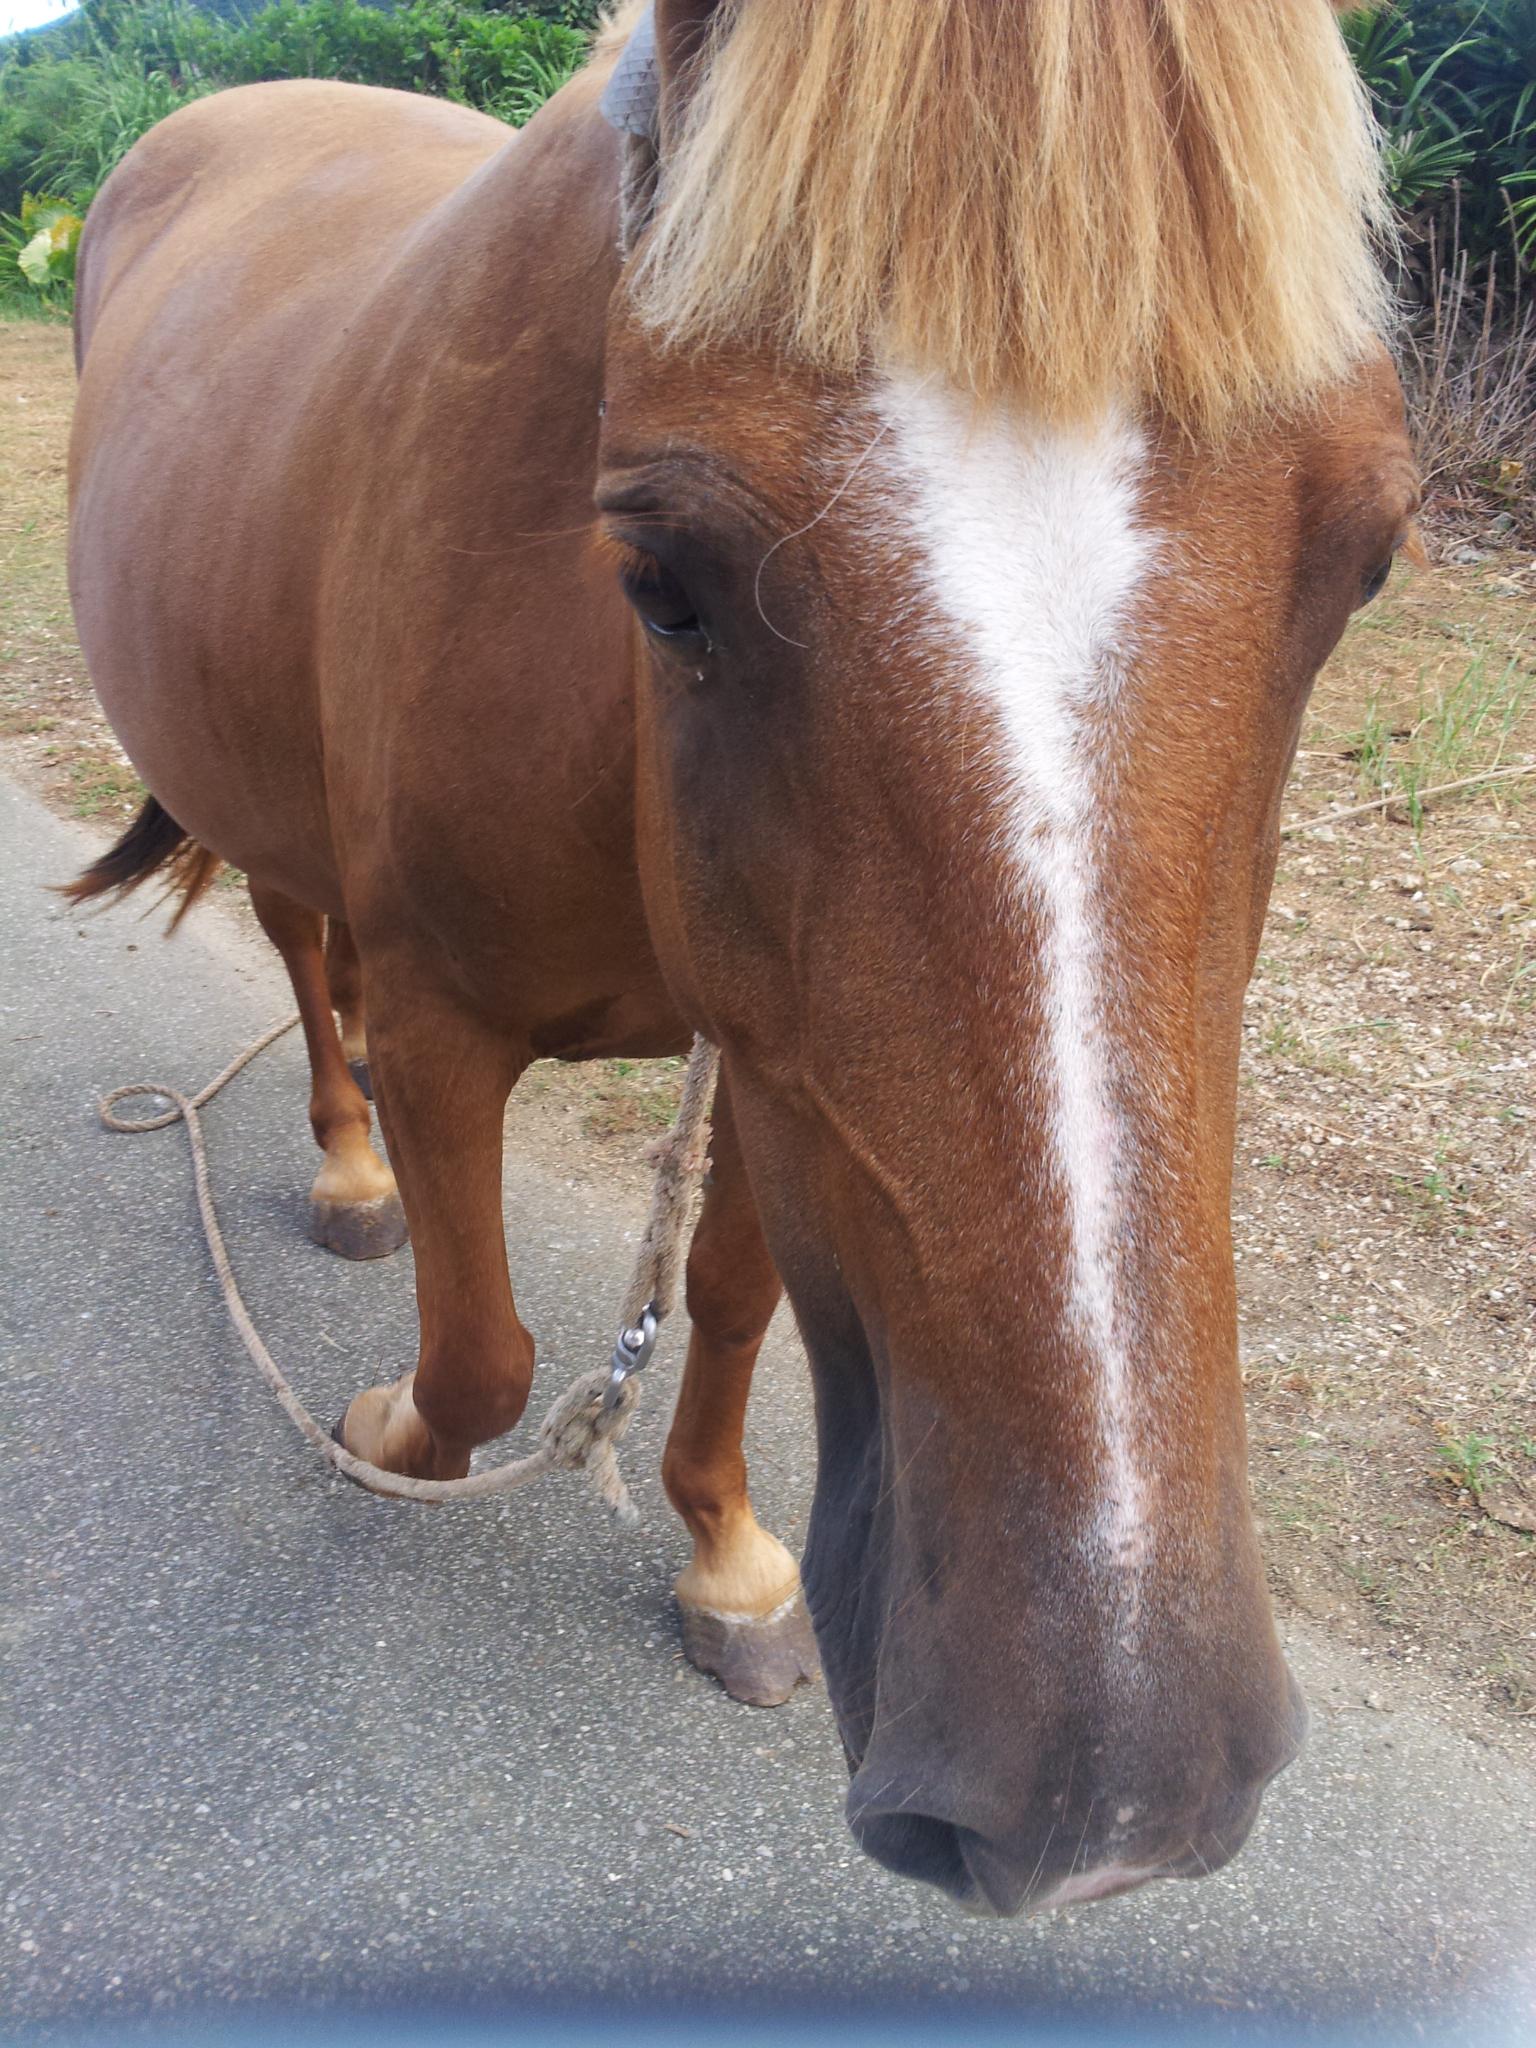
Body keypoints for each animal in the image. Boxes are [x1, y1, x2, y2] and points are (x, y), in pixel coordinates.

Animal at [64, 0, 1419, 1915]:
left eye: (1366, 558)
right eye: (661, 575)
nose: (1109, 1803)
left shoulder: (782, 1070)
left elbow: (724, 1300)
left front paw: (728, 1555)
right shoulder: (452, 1020)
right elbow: (479, 1359)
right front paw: (387, 1431)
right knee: (297, 943)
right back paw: (345, 1167)